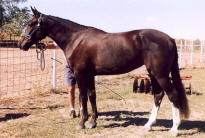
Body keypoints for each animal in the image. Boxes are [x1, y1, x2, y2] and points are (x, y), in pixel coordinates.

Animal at [18, 7, 190, 136]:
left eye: (31, 23)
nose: (21, 43)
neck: (76, 39)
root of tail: (169, 38)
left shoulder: (80, 74)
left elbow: (83, 97)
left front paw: (82, 123)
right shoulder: (89, 75)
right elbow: (92, 96)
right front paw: (92, 122)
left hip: (161, 75)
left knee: (172, 95)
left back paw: (174, 129)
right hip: (152, 74)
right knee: (158, 95)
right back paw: (149, 125)